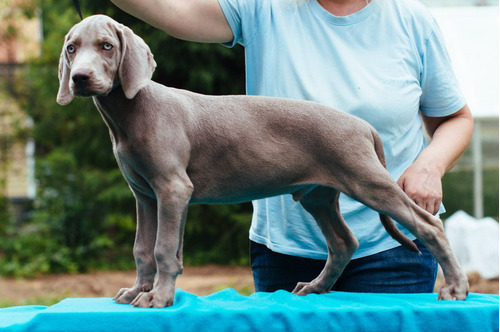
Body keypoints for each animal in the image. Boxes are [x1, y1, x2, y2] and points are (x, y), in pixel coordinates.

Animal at [57, 14, 468, 306]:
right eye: (72, 49)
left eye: (107, 46)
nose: (80, 78)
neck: (129, 114)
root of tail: (364, 126)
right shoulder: (145, 195)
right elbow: (143, 248)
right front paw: (137, 292)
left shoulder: (172, 189)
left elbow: (162, 249)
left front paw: (158, 298)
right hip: (317, 195)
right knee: (343, 242)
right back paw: (315, 287)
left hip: (366, 180)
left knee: (428, 224)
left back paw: (456, 288)